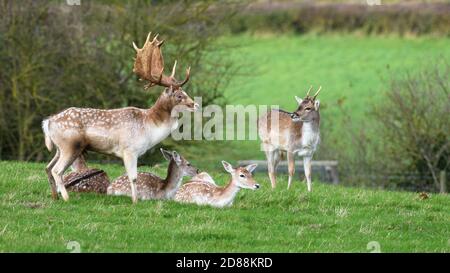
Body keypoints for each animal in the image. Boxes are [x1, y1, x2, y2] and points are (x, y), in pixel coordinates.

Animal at [42, 31, 197, 202]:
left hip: (59, 148)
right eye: (179, 96)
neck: (149, 128)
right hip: (70, 145)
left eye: (185, 92)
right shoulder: (129, 150)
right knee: (56, 170)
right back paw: (66, 198)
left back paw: (55, 197)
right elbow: (133, 177)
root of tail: (48, 122)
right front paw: (135, 201)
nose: (195, 104)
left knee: (48, 167)